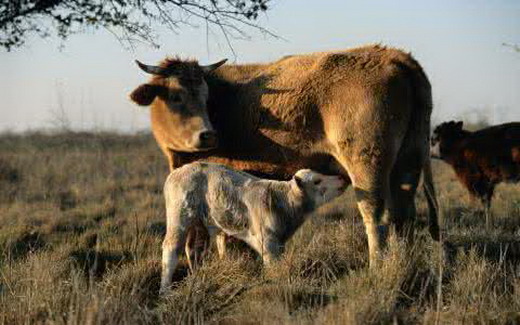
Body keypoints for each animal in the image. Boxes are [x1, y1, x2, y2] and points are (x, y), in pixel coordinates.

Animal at [129, 44, 438, 266]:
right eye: (176, 96)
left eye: (205, 97)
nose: (208, 135)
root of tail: (396, 57)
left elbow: (204, 237)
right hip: (408, 163)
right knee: (404, 213)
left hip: (367, 166)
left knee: (375, 215)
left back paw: (376, 266)